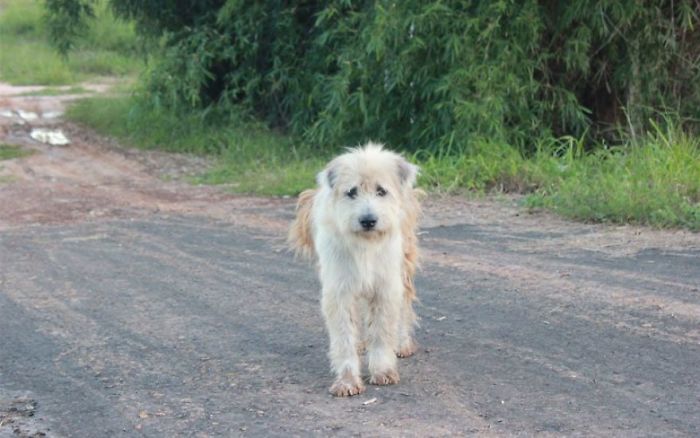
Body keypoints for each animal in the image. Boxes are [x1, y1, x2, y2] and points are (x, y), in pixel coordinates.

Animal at [288, 143, 422, 396]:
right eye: (351, 192)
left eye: (381, 191)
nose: (368, 220)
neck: (365, 244)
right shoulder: (340, 290)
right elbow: (343, 337)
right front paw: (347, 380)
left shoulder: (385, 287)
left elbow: (382, 332)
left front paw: (382, 370)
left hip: (404, 266)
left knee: (404, 307)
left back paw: (402, 343)